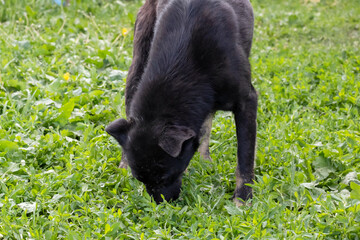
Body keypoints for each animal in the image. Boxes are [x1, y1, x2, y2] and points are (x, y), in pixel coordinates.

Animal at [105, 0, 258, 206]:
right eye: (140, 179)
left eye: (165, 176)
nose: (159, 205)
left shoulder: (246, 101)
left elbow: (245, 157)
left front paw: (242, 198)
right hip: (137, 63)